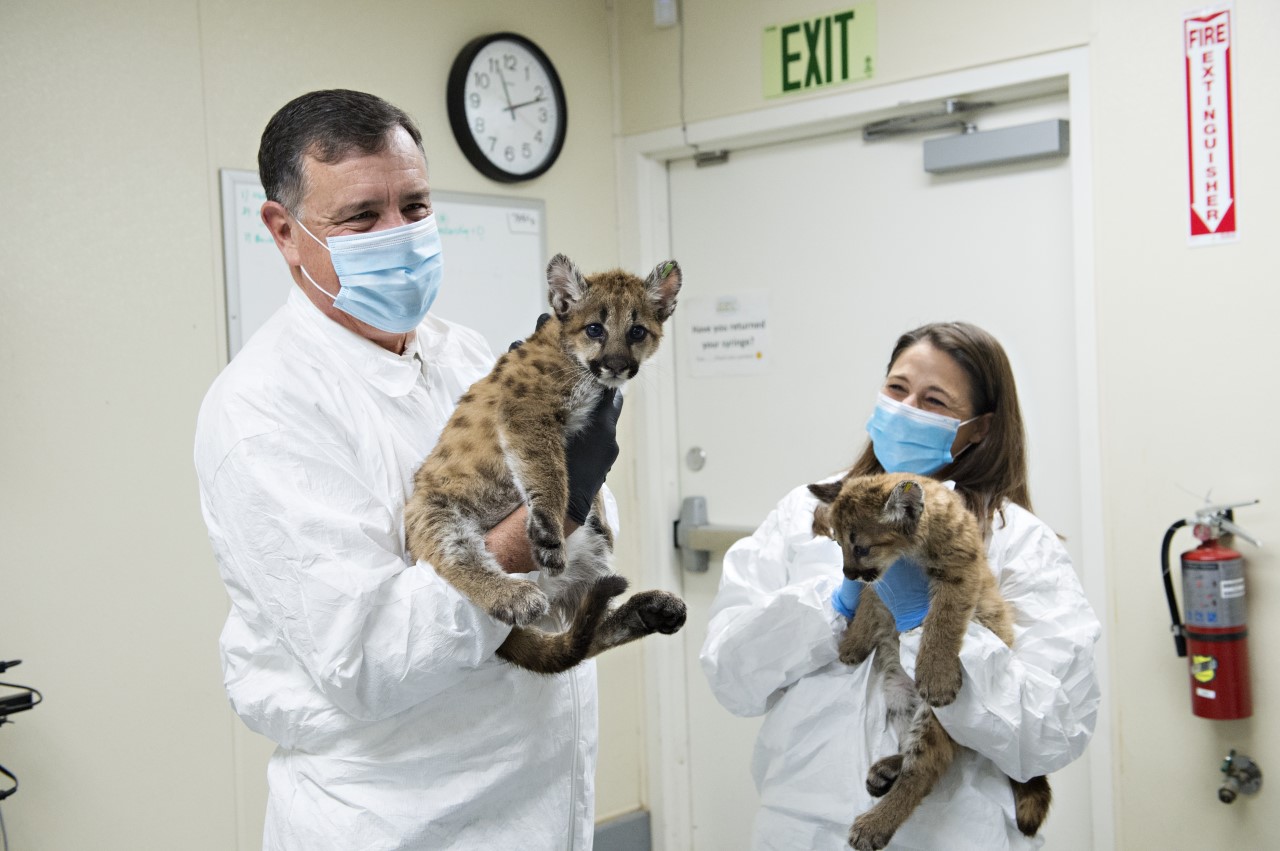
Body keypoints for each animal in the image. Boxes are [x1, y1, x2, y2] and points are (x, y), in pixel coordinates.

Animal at [409, 250, 691, 670]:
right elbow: (550, 470)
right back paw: (514, 595)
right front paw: (548, 531)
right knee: (460, 559)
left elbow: (591, 488)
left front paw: (601, 518)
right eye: (595, 329)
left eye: (637, 331)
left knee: (584, 632)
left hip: (590, 561)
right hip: (438, 515)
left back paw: (650, 609)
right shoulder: (527, 413)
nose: (615, 364)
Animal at [808, 470, 1049, 849]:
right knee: (920, 753)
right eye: (837, 543)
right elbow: (869, 598)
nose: (847, 573)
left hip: (936, 718)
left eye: (861, 547)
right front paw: (853, 643)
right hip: (897, 693)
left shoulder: (959, 568)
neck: (907, 556)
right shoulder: (884, 583)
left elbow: (942, 619)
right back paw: (888, 768)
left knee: (925, 769)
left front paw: (936, 675)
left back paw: (874, 825)